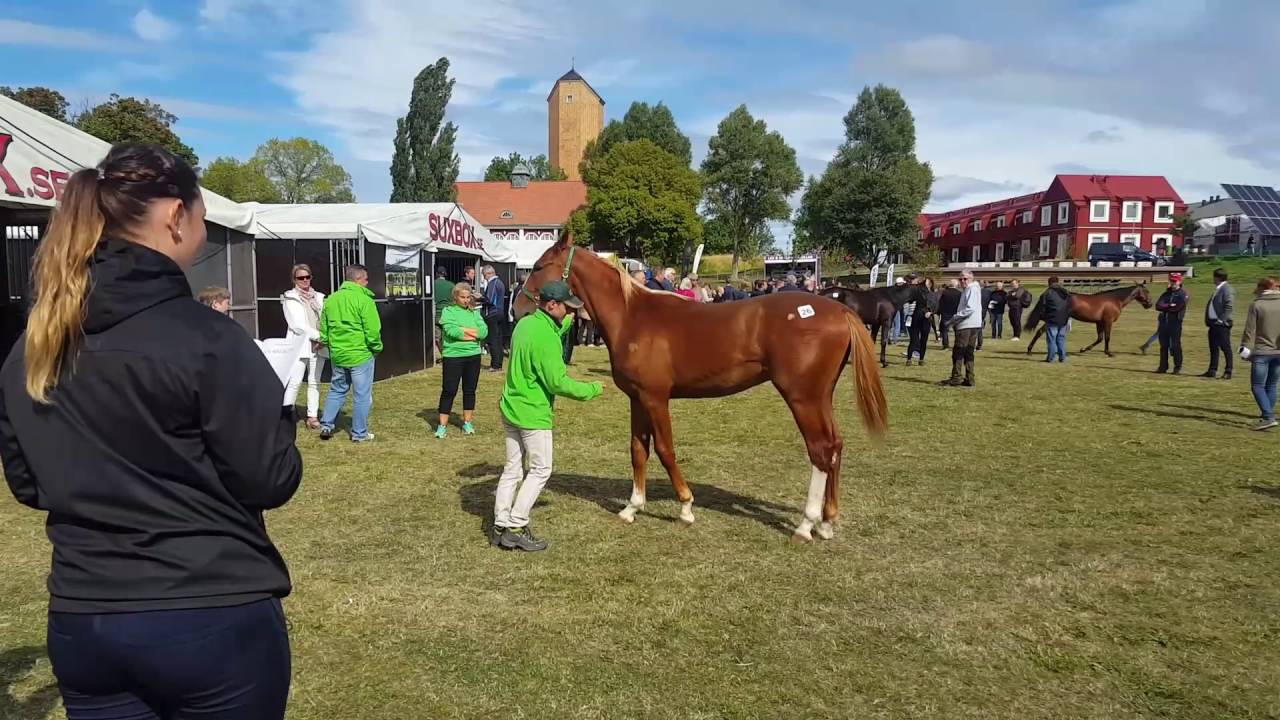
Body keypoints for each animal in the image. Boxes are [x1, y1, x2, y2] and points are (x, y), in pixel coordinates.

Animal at [514, 235, 888, 543]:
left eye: (539, 266)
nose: (517, 309)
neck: (632, 316)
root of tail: (840, 310)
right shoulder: (637, 399)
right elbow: (638, 450)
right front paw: (632, 508)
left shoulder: (655, 398)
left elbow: (665, 450)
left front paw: (685, 507)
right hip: (821, 397)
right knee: (835, 446)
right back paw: (826, 523)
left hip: (803, 398)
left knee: (821, 451)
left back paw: (806, 525)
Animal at [1023, 284, 1152, 357]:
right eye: (1146, 292)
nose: (1150, 304)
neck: (1115, 300)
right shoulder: (1108, 322)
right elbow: (1107, 337)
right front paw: (1109, 353)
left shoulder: (1099, 323)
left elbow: (1100, 338)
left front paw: (1083, 349)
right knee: (1040, 332)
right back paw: (1029, 350)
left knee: (1040, 331)